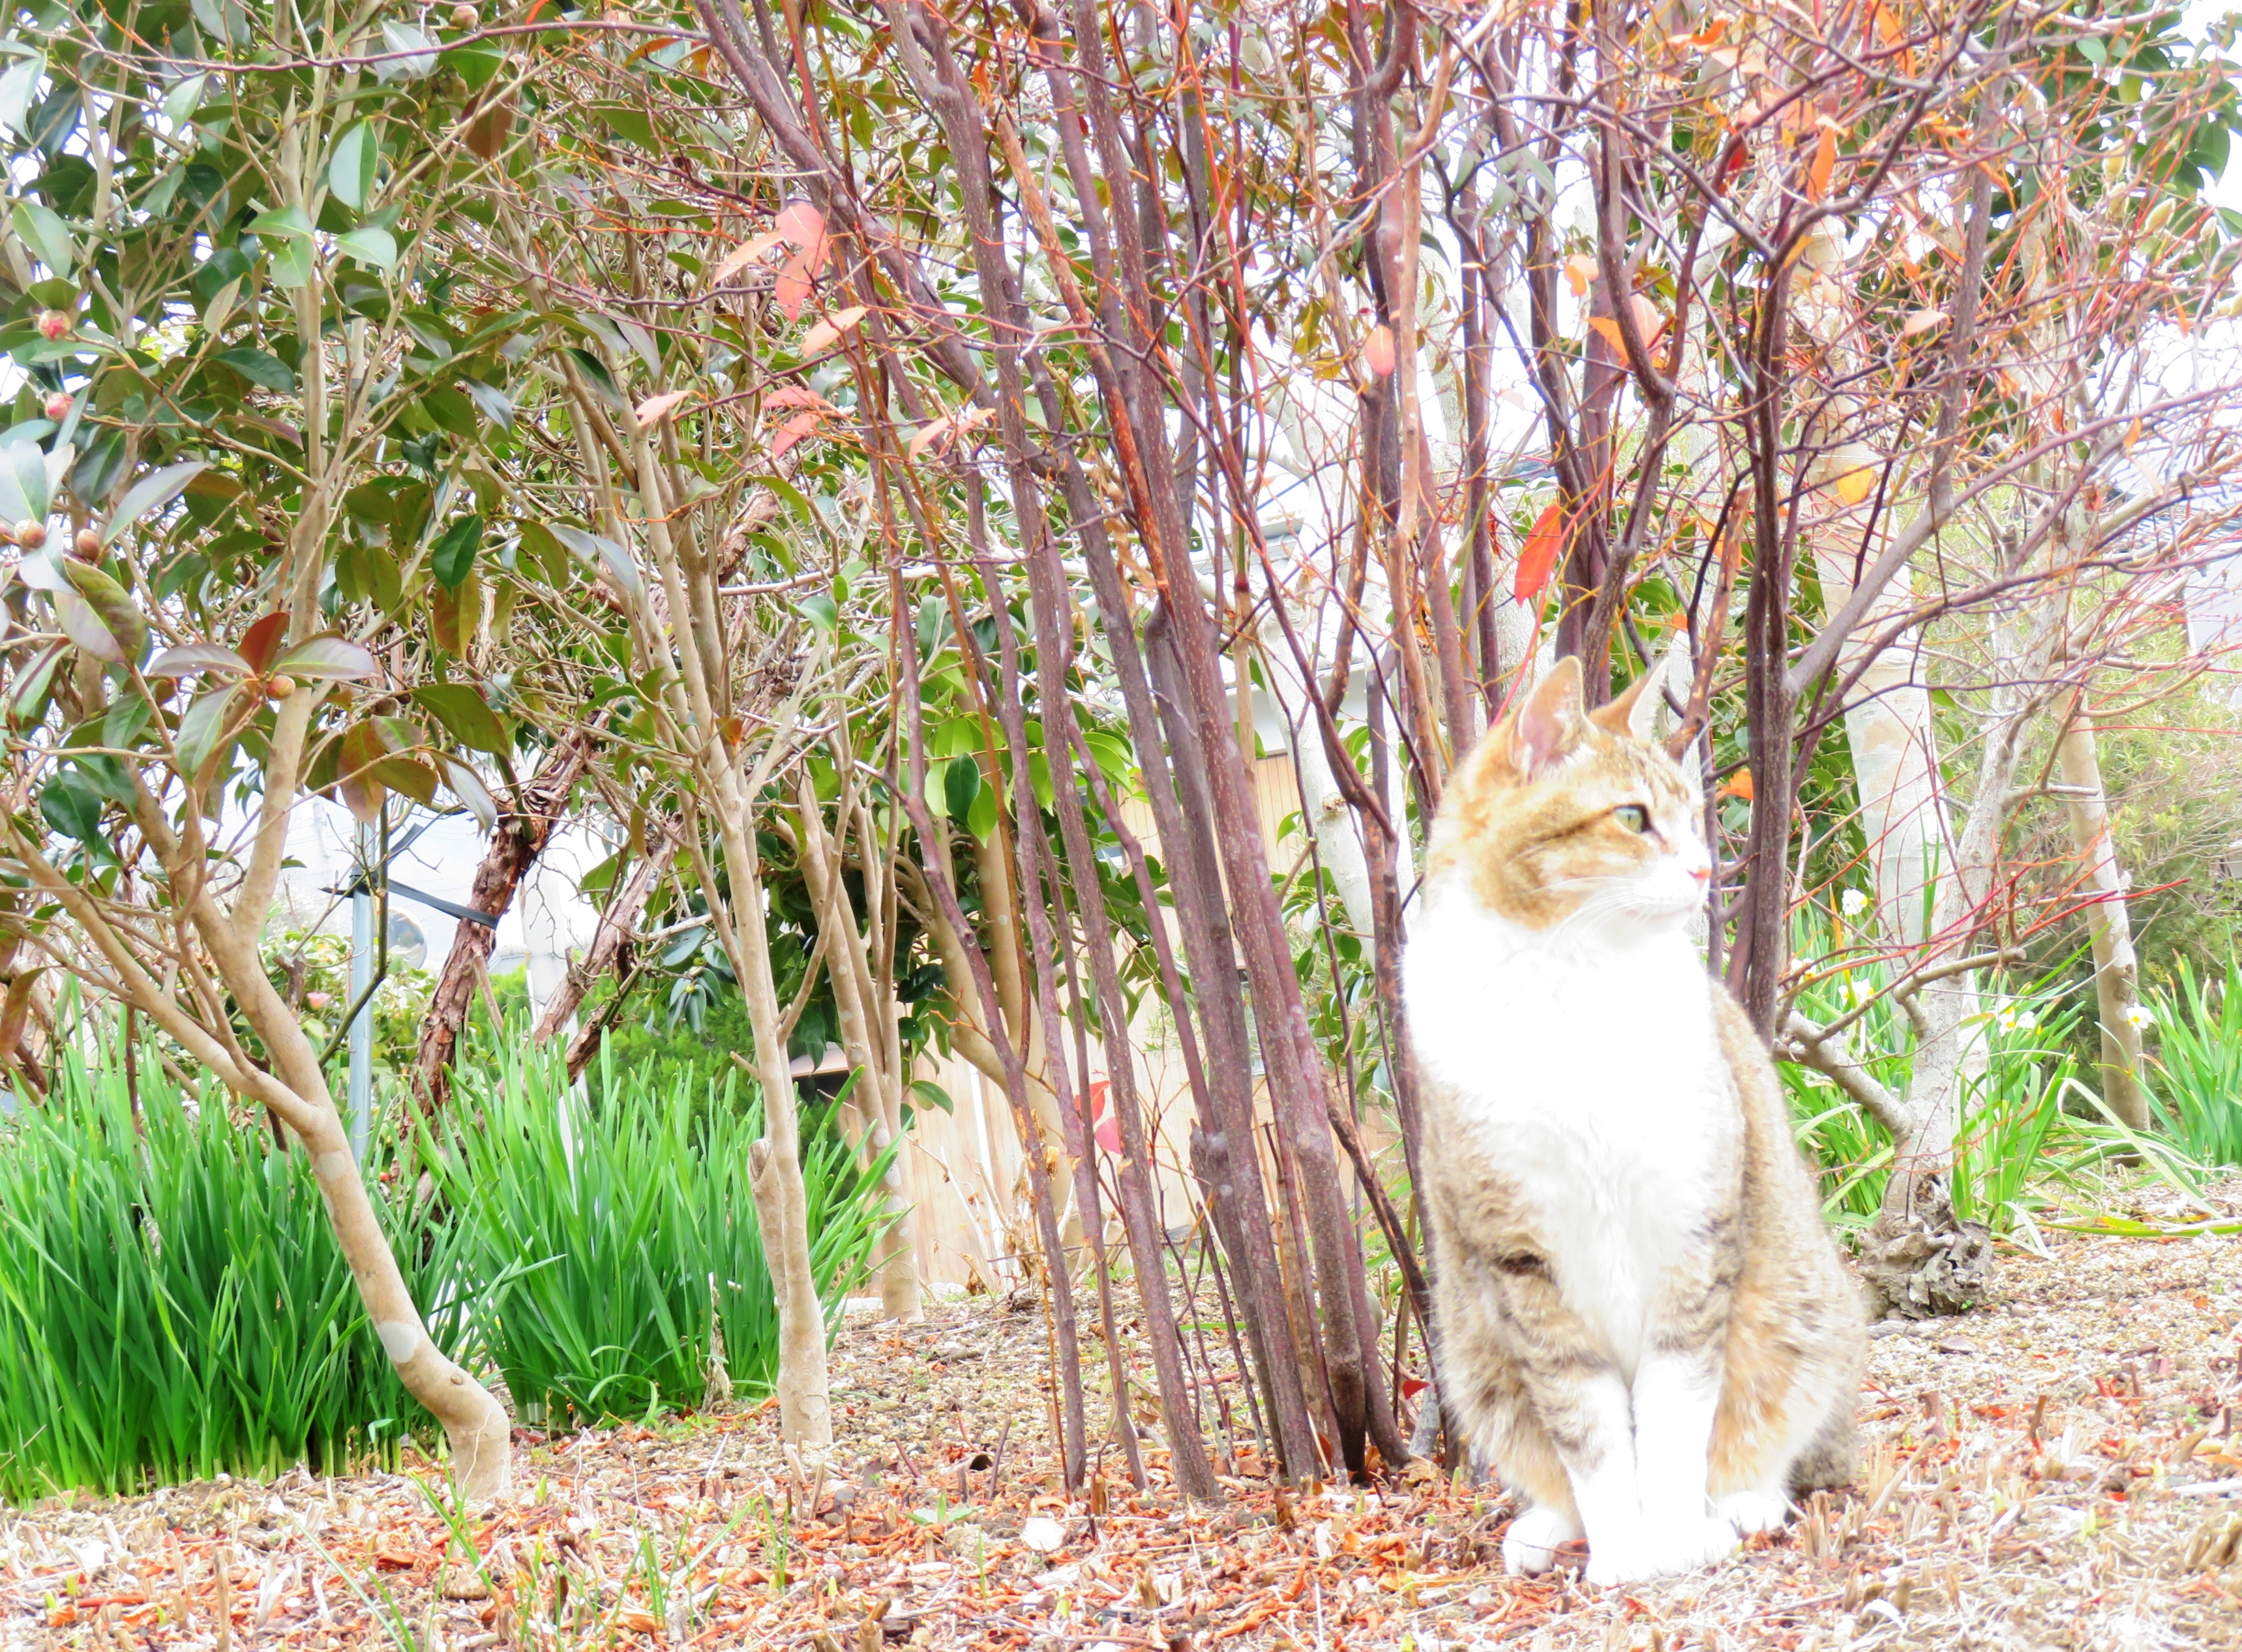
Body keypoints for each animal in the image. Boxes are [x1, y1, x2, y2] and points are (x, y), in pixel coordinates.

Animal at [1408, 650, 1865, 1578]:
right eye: (1632, 818)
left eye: (1692, 817)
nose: (1704, 870)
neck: (1569, 983)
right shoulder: (1522, 1263)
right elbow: (1586, 1429)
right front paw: (1623, 1553)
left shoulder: (1692, 1227)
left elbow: (1676, 1414)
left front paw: (1678, 1539)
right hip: (1472, 1350)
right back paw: (1551, 1527)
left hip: (1803, 1312)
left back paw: (1742, 1504)